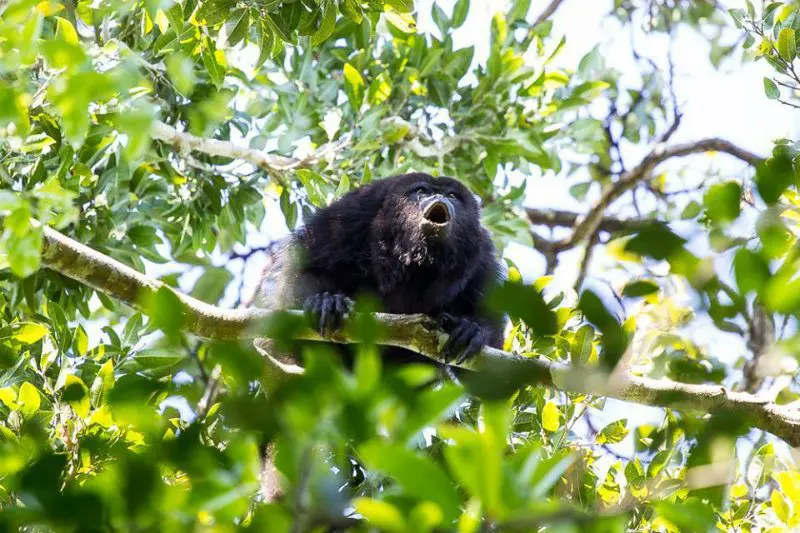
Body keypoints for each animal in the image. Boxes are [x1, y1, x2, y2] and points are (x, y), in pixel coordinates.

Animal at [252, 170, 506, 370]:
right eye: (421, 191)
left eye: (452, 195)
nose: (439, 196)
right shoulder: (352, 212)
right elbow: (298, 266)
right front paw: (324, 301)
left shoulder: (481, 252)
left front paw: (472, 329)